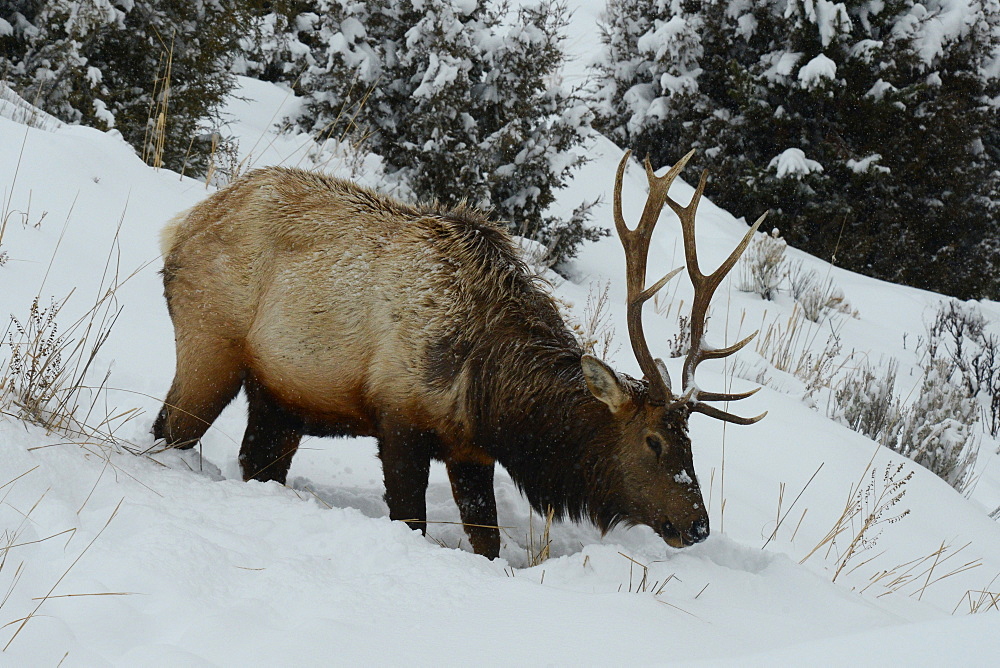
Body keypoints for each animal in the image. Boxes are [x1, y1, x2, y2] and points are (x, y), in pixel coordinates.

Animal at [154, 149, 764, 556]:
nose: (698, 525)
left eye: (691, 440)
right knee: (170, 430)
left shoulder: (471, 451)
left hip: (280, 395)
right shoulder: (398, 420)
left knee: (256, 460)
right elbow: (412, 523)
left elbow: (486, 538)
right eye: (654, 440)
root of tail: (180, 225)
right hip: (210, 343)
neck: (492, 397)